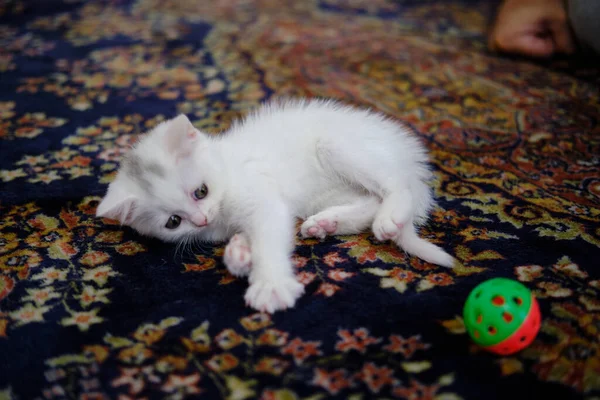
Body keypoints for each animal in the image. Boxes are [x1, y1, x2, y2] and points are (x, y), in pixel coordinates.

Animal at [97, 98, 454, 314]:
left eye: (201, 191)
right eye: (173, 221)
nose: (200, 219)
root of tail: (409, 157)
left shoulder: (262, 198)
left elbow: (269, 235)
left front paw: (270, 283)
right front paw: (239, 254)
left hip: (337, 145)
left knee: (395, 184)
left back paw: (390, 215)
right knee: (369, 200)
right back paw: (327, 223)